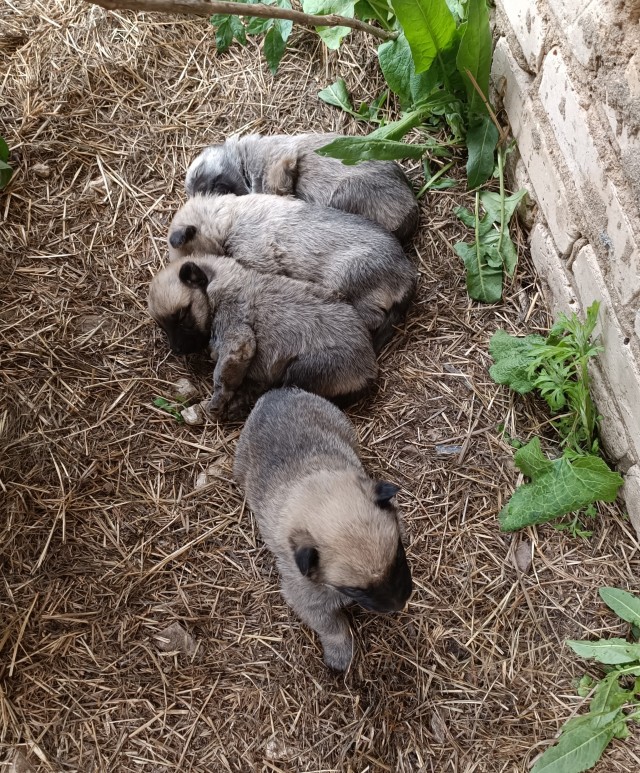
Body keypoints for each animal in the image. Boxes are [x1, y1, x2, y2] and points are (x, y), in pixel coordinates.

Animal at [149, 256, 380, 416]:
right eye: (162, 326)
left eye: (182, 315)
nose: (176, 349)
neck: (220, 285)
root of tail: (368, 369)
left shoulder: (238, 341)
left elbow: (222, 377)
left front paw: (217, 402)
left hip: (301, 370)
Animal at [232, 386, 412, 668]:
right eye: (353, 589)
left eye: (398, 556)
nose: (398, 604)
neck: (312, 487)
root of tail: (277, 391)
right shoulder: (306, 598)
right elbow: (332, 627)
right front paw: (340, 653)